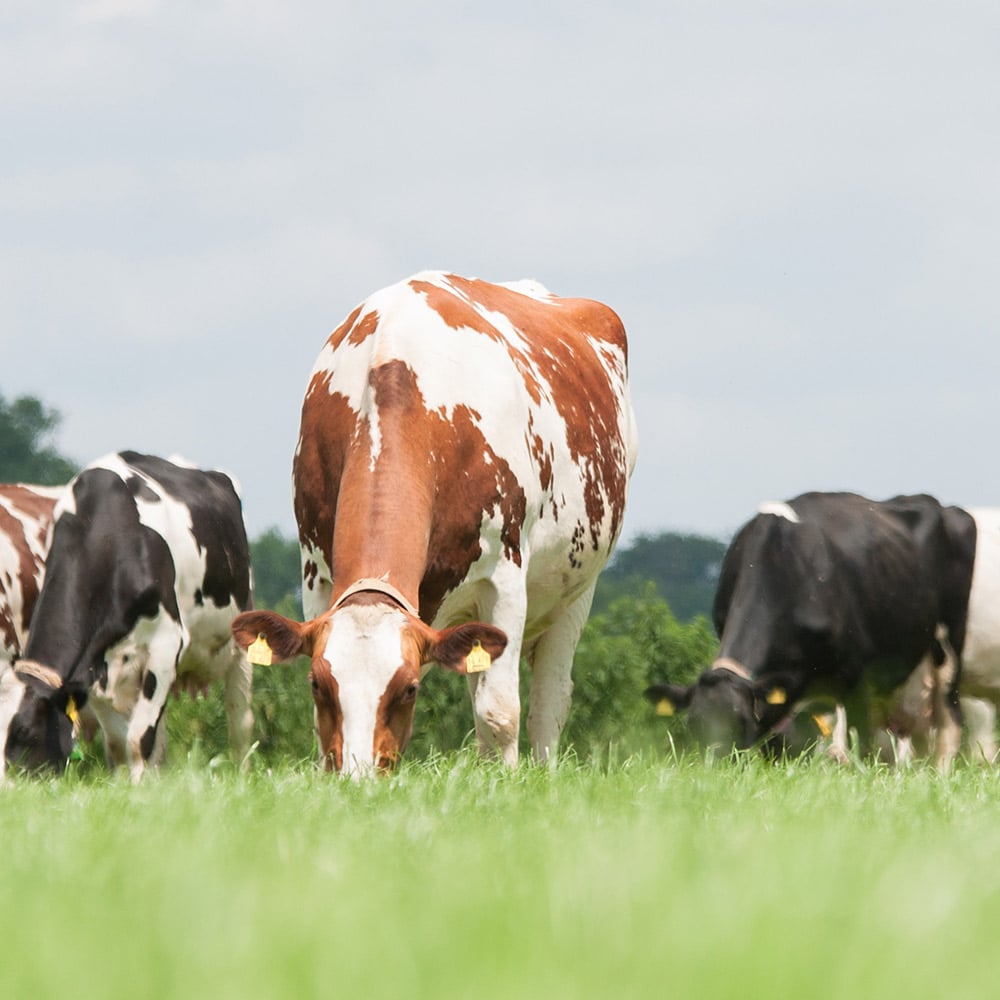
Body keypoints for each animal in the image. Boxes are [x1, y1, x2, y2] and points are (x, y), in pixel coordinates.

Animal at [3, 452, 254, 781]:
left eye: (25, 732)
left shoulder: (165, 646)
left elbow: (137, 740)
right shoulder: (93, 665)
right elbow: (119, 744)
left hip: (241, 641)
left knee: (240, 723)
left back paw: (242, 774)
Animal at [231, 270, 637, 777]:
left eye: (408, 689)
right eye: (318, 684)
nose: (359, 779)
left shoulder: (505, 578)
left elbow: (500, 712)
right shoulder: (315, 575)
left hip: (578, 590)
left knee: (549, 701)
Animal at [645, 492, 976, 768]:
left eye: (740, 722)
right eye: (694, 724)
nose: (715, 768)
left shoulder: (856, 676)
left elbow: (861, 740)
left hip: (948, 650)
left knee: (949, 723)